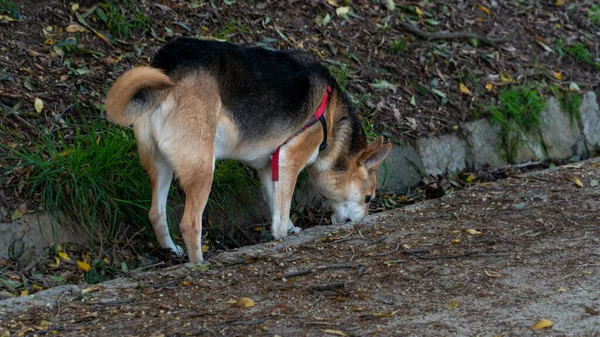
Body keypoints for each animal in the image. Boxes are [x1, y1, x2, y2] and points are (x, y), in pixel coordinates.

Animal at [105, 37, 392, 262]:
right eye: (368, 199)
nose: (361, 222)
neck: (331, 119)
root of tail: (169, 66)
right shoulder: (289, 161)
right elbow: (281, 214)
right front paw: (282, 237)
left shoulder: (270, 167)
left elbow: (277, 207)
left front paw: (290, 230)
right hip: (203, 168)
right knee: (189, 224)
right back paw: (199, 264)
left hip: (161, 165)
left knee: (156, 213)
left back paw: (172, 251)